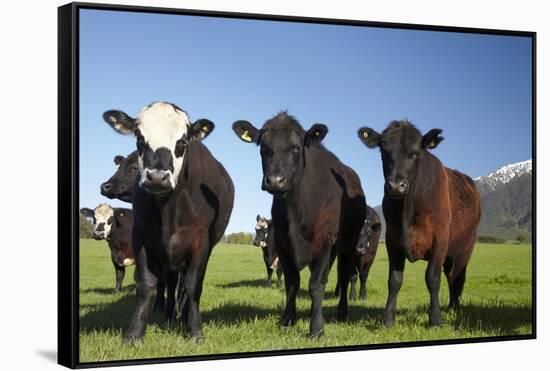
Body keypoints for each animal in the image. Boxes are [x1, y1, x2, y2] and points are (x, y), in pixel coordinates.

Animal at [104, 101, 235, 342]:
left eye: (182, 141)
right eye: (139, 137)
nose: (157, 177)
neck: (169, 211)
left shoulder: (200, 243)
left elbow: (192, 286)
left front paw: (195, 330)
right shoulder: (142, 238)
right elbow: (146, 285)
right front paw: (135, 333)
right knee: (172, 284)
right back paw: (169, 314)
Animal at [233, 112, 366, 338]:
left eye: (296, 147)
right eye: (263, 147)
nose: (275, 180)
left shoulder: (325, 243)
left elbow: (316, 285)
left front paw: (316, 329)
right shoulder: (283, 244)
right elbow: (292, 283)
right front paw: (288, 320)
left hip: (348, 246)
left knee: (344, 276)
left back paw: (342, 313)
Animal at [358, 120, 484, 326]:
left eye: (415, 153)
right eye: (384, 151)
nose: (396, 186)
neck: (408, 210)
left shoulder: (440, 241)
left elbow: (432, 278)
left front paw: (435, 319)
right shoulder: (392, 240)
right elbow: (394, 280)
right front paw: (388, 319)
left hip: (465, 248)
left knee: (457, 277)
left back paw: (455, 308)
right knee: (451, 275)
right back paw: (450, 306)